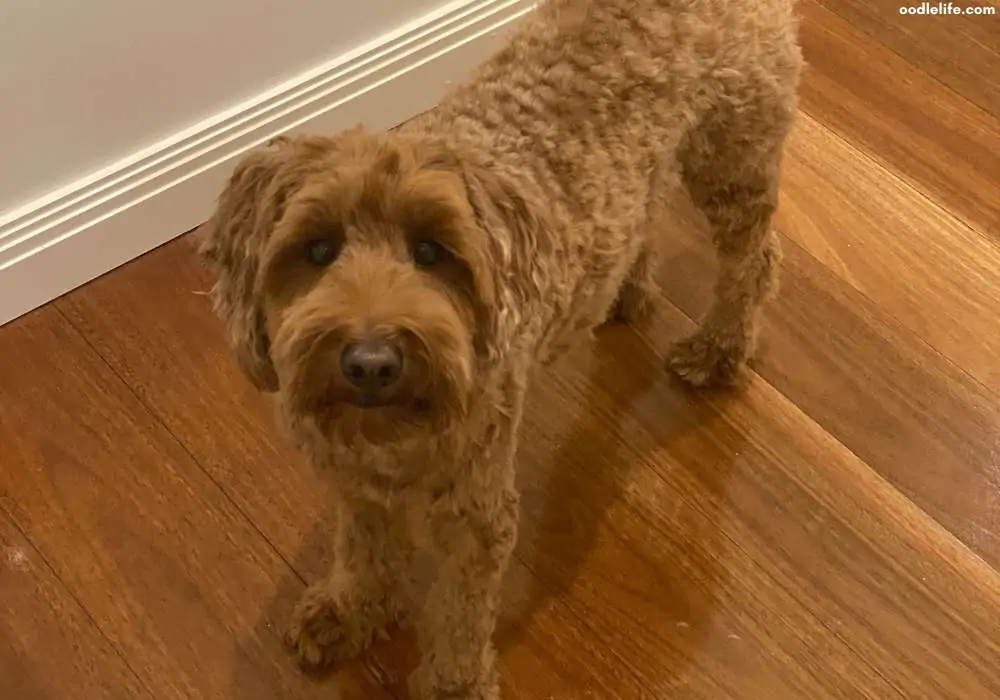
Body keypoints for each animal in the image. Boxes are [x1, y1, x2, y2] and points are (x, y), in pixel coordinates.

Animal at [199, 0, 800, 696]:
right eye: (317, 249)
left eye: (432, 251)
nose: (371, 363)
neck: (394, 436)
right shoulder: (355, 481)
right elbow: (366, 552)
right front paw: (348, 612)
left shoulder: (476, 508)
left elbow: (460, 612)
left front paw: (453, 685)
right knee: (646, 213)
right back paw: (626, 289)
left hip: (733, 153)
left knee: (755, 259)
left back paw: (718, 349)